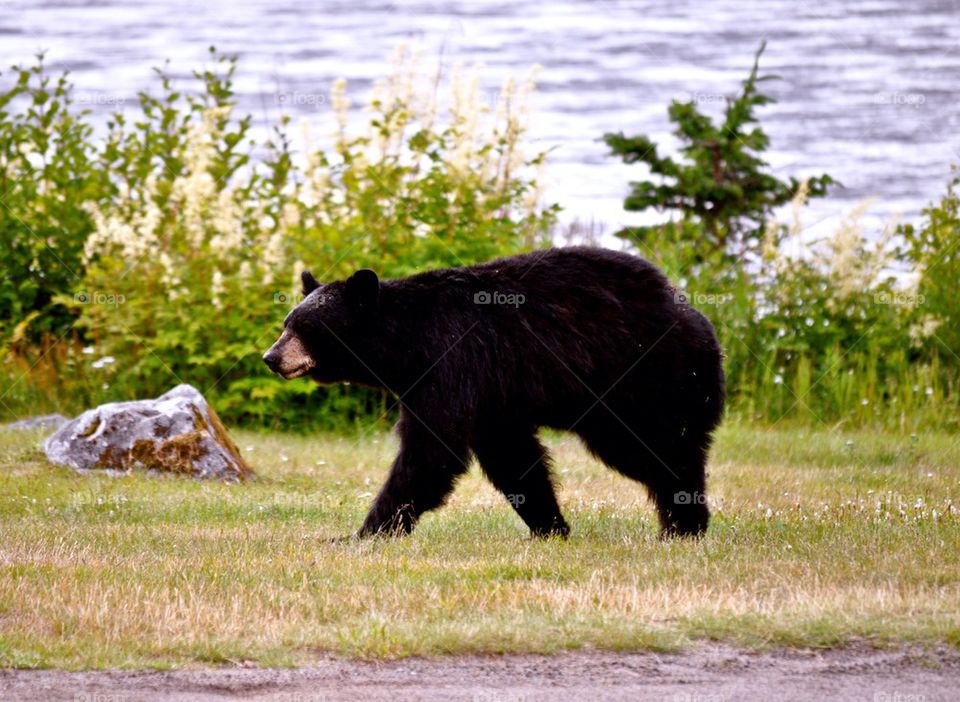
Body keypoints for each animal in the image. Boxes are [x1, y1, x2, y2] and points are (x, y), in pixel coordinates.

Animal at [262, 248, 728, 540]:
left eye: (305, 328)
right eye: (287, 322)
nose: (271, 357)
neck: (406, 346)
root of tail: (694, 314)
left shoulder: (451, 364)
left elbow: (432, 452)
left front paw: (363, 532)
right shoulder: (492, 396)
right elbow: (511, 458)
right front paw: (550, 526)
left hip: (644, 379)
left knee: (658, 450)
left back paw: (685, 524)